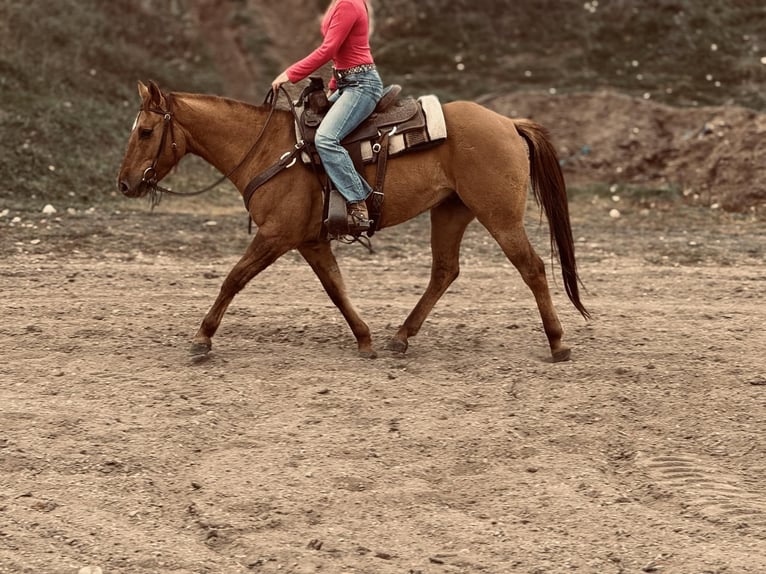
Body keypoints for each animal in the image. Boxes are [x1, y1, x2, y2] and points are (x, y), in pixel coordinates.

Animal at [117, 80, 589, 362]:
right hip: (451, 211)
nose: (124, 184)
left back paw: (558, 342)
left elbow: (234, 278)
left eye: (145, 131)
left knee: (532, 268)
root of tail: (509, 123)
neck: (267, 148)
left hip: (499, 216)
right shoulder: (310, 241)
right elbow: (336, 289)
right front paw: (364, 339)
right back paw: (400, 337)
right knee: (444, 271)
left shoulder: (276, 235)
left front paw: (202, 339)